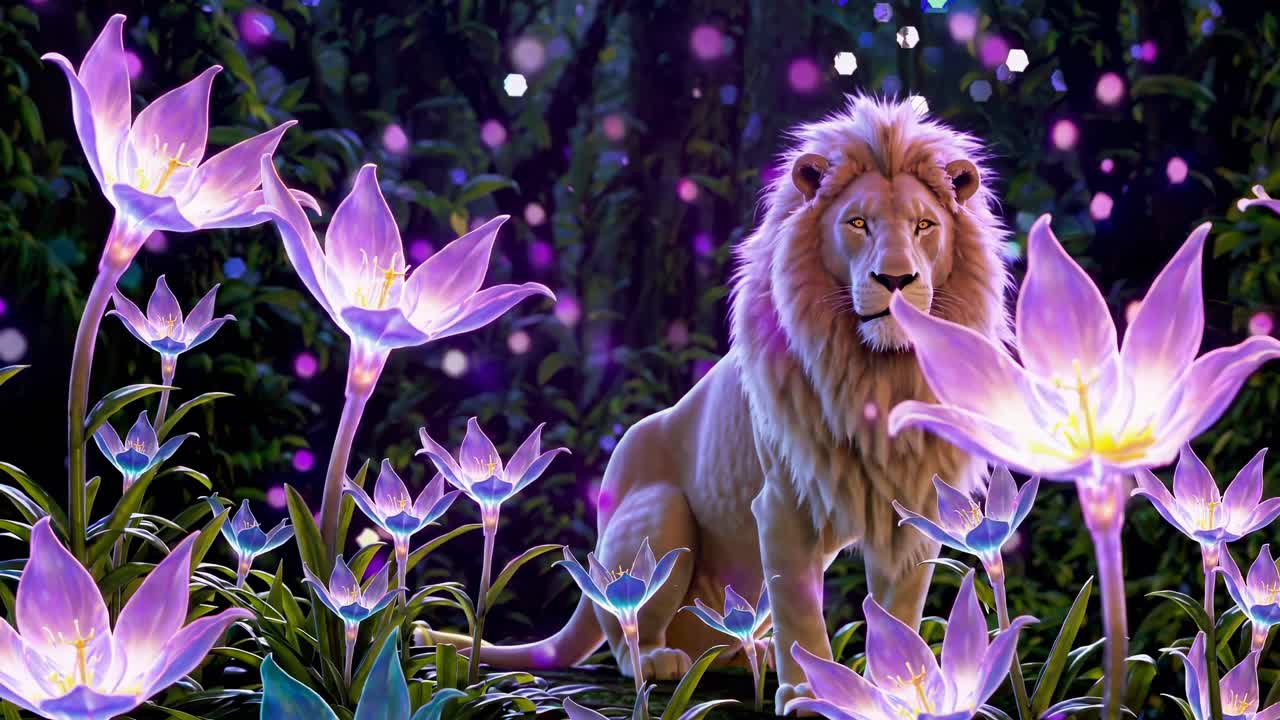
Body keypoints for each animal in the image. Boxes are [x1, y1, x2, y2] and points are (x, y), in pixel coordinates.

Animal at [428, 96, 1011, 712]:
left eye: (925, 226)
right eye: (857, 223)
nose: (896, 279)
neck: (875, 373)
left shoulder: (911, 507)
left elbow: (898, 612)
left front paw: (901, 692)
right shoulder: (780, 504)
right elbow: (798, 605)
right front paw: (807, 691)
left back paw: (746, 654)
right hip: (659, 513)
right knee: (624, 626)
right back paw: (659, 660)